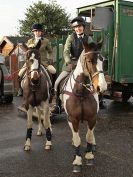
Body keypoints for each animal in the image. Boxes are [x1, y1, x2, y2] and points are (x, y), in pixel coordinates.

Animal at [61, 40, 107, 172]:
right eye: (90, 61)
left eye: (103, 60)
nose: (102, 87)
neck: (81, 92)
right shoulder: (73, 119)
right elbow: (77, 139)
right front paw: (77, 161)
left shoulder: (92, 118)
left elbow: (89, 136)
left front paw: (89, 155)